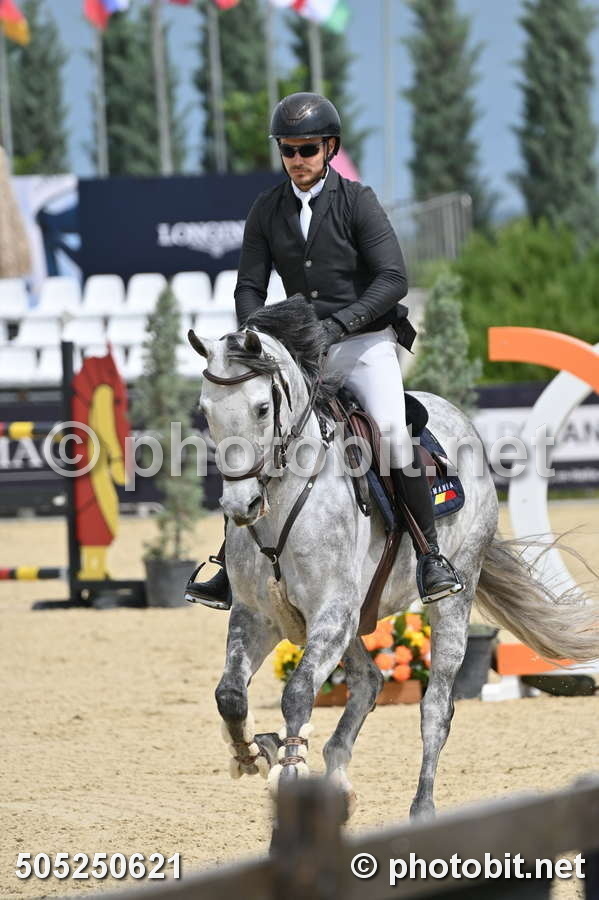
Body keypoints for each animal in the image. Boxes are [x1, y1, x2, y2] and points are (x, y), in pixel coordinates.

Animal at [188, 296, 598, 820]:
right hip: (352, 619)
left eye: (262, 409)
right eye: (205, 411)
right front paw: (253, 752)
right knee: (368, 681)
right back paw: (338, 782)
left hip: (448, 602)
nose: (240, 507)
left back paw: (421, 807)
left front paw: (289, 769)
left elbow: (297, 692)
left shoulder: (330, 613)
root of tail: (457, 419)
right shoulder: (257, 616)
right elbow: (230, 695)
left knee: (435, 708)